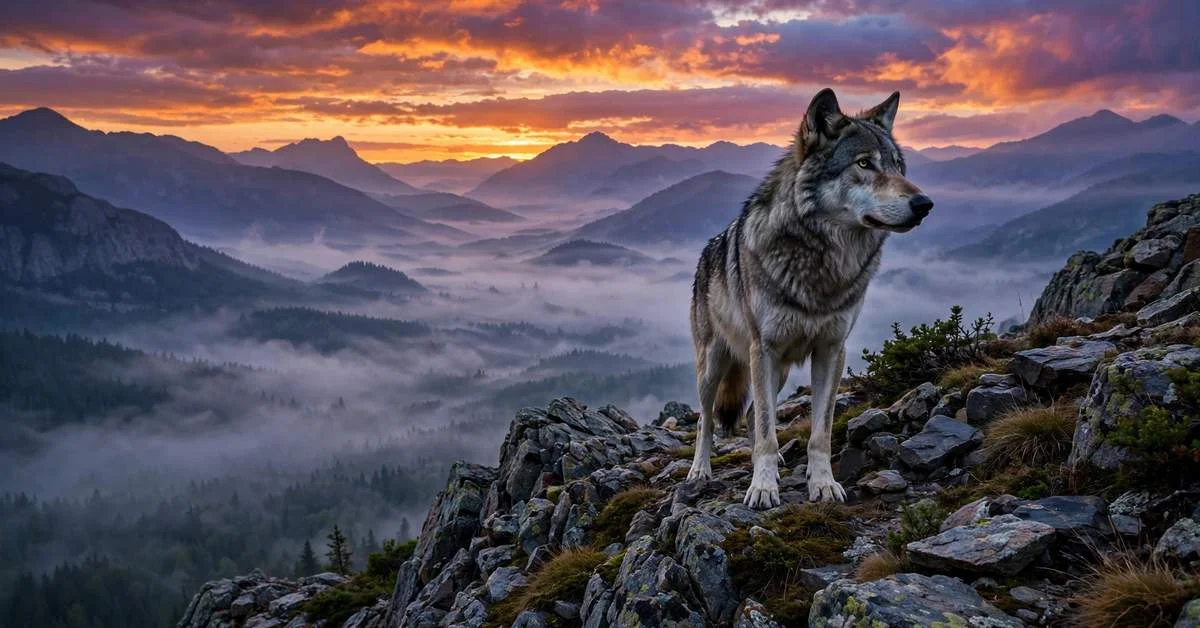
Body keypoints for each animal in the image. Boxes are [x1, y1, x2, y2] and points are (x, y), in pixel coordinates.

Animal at [687, 88, 933, 508]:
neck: (821, 263)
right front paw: (763, 488)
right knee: (707, 418)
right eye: (864, 163)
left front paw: (823, 484)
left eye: (899, 167)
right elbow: (766, 431)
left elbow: (819, 432)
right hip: (716, 364)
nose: (925, 204)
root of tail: (707, 250)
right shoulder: (764, 349)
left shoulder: (831, 349)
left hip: (780, 370)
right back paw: (700, 470)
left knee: (753, 416)